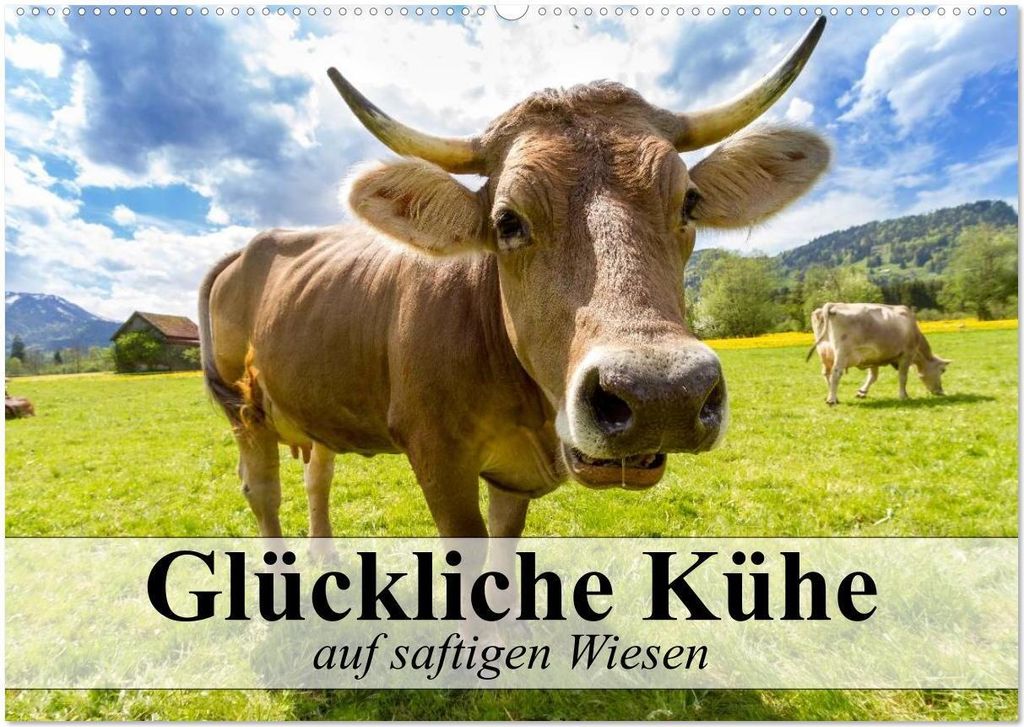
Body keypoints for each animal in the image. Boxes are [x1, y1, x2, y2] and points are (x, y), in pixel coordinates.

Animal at [200, 19, 831, 547]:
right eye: (507, 221)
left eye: (690, 203)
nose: (661, 395)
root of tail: (252, 245)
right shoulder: (437, 458)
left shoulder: (512, 479)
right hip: (245, 411)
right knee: (263, 492)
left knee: (317, 478)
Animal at [806, 302, 951, 406]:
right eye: (942, 370)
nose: (941, 392)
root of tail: (833, 305)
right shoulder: (906, 355)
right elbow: (903, 377)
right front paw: (904, 396)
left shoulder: (873, 358)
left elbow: (873, 377)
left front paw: (862, 392)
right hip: (842, 353)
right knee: (836, 373)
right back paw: (831, 400)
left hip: (825, 352)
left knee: (827, 374)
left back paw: (834, 397)